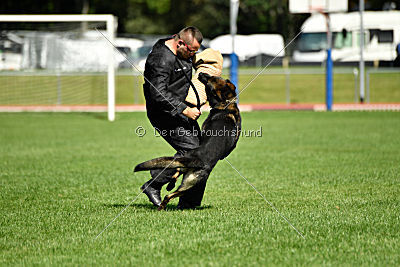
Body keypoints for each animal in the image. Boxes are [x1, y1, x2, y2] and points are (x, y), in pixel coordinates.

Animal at [134, 73, 241, 211]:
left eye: (211, 79)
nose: (201, 73)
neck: (226, 103)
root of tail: (197, 159)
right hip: (190, 182)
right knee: (171, 190)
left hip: (187, 178)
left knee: (172, 186)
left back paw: (165, 197)